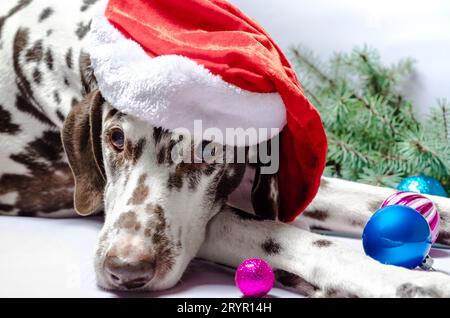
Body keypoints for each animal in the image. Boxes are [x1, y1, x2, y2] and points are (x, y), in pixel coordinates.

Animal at [2, 0, 450, 298]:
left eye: (208, 149)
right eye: (116, 138)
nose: (126, 270)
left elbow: (374, 200)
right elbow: (277, 234)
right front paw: (406, 280)